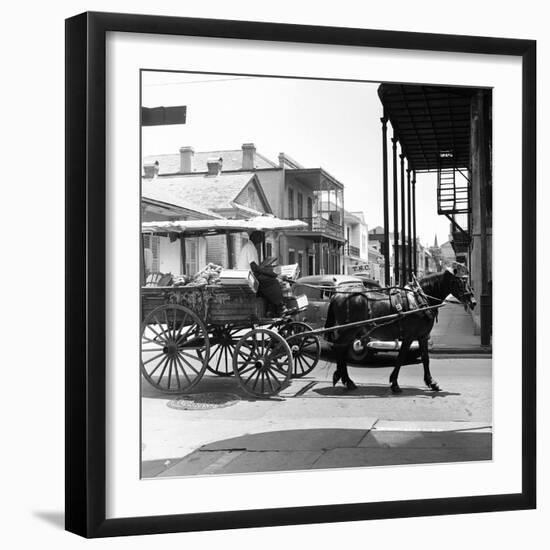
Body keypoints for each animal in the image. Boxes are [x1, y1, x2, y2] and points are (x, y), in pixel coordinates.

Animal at [328, 270, 478, 394]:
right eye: (459, 283)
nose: (474, 302)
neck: (420, 299)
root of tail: (337, 295)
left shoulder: (423, 336)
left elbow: (425, 358)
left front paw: (431, 382)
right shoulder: (409, 337)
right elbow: (400, 358)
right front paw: (394, 383)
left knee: (340, 349)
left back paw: (343, 378)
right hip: (349, 330)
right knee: (339, 348)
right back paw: (346, 380)